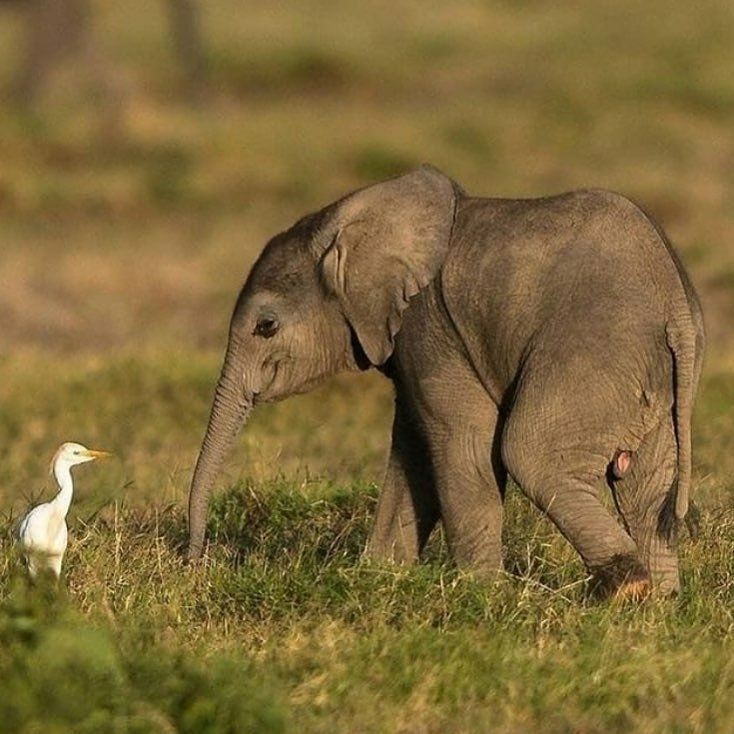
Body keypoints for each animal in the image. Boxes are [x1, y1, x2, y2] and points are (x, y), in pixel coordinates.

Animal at [190, 168, 708, 604]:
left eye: (266, 326)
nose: (196, 561)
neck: (350, 217)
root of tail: (676, 307)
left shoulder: (430, 326)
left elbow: (463, 444)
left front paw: (480, 597)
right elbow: (414, 451)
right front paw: (379, 577)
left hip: (592, 354)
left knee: (530, 454)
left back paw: (626, 590)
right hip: (648, 379)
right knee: (646, 490)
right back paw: (661, 605)